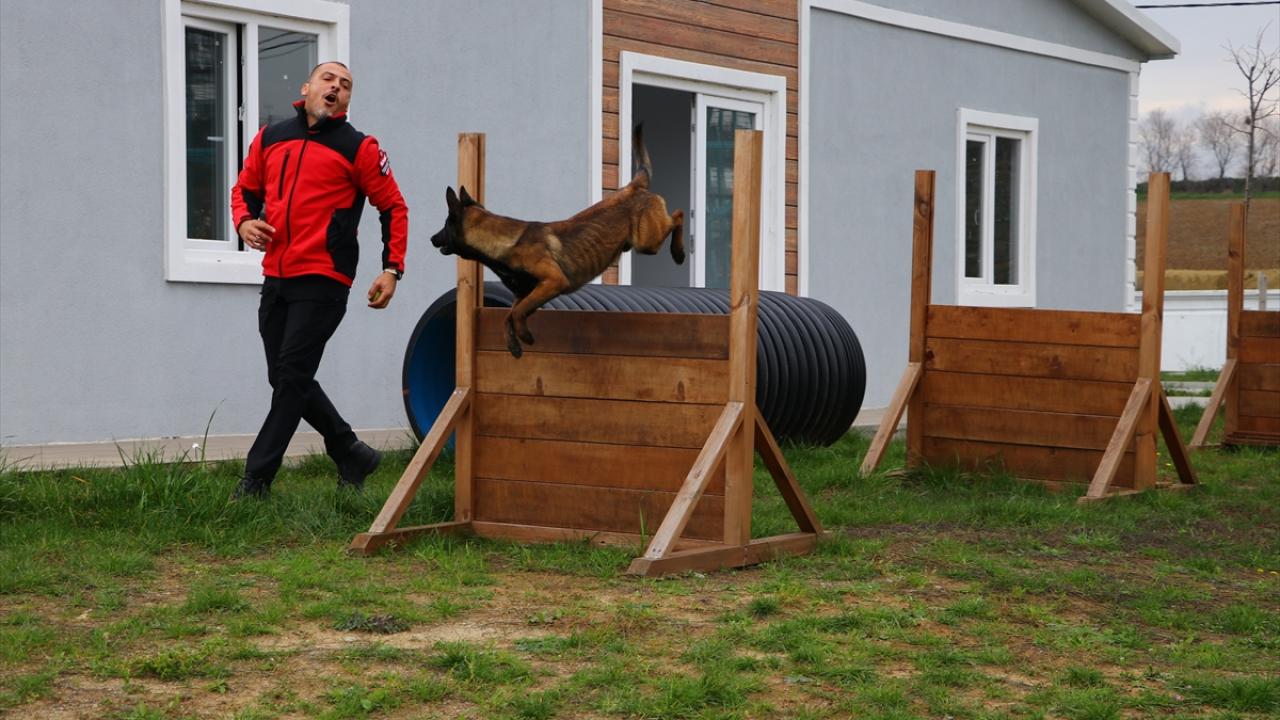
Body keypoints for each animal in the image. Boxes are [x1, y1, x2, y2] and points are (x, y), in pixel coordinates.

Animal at [430, 124, 685, 357]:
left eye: (445, 225)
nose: (431, 238)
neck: (507, 242)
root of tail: (633, 186)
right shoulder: (524, 293)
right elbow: (508, 315)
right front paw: (513, 344)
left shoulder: (553, 282)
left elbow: (518, 313)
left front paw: (525, 336)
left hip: (647, 241)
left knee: (678, 215)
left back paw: (679, 251)